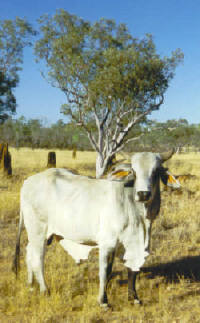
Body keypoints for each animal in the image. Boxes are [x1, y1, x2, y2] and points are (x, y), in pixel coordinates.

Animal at [12, 151, 180, 308]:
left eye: (156, 171)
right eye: (133, 170)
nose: (143, 194)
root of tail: (28, 181)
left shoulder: (138, 244)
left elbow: (133, 270)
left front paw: (134, 298)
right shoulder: (107, 243)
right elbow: (105, 271)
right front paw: (103, 301)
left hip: (41, 234)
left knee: (29, 253)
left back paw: (31, 285)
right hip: (38, 231)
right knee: (37, 258)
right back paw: (44, 289)